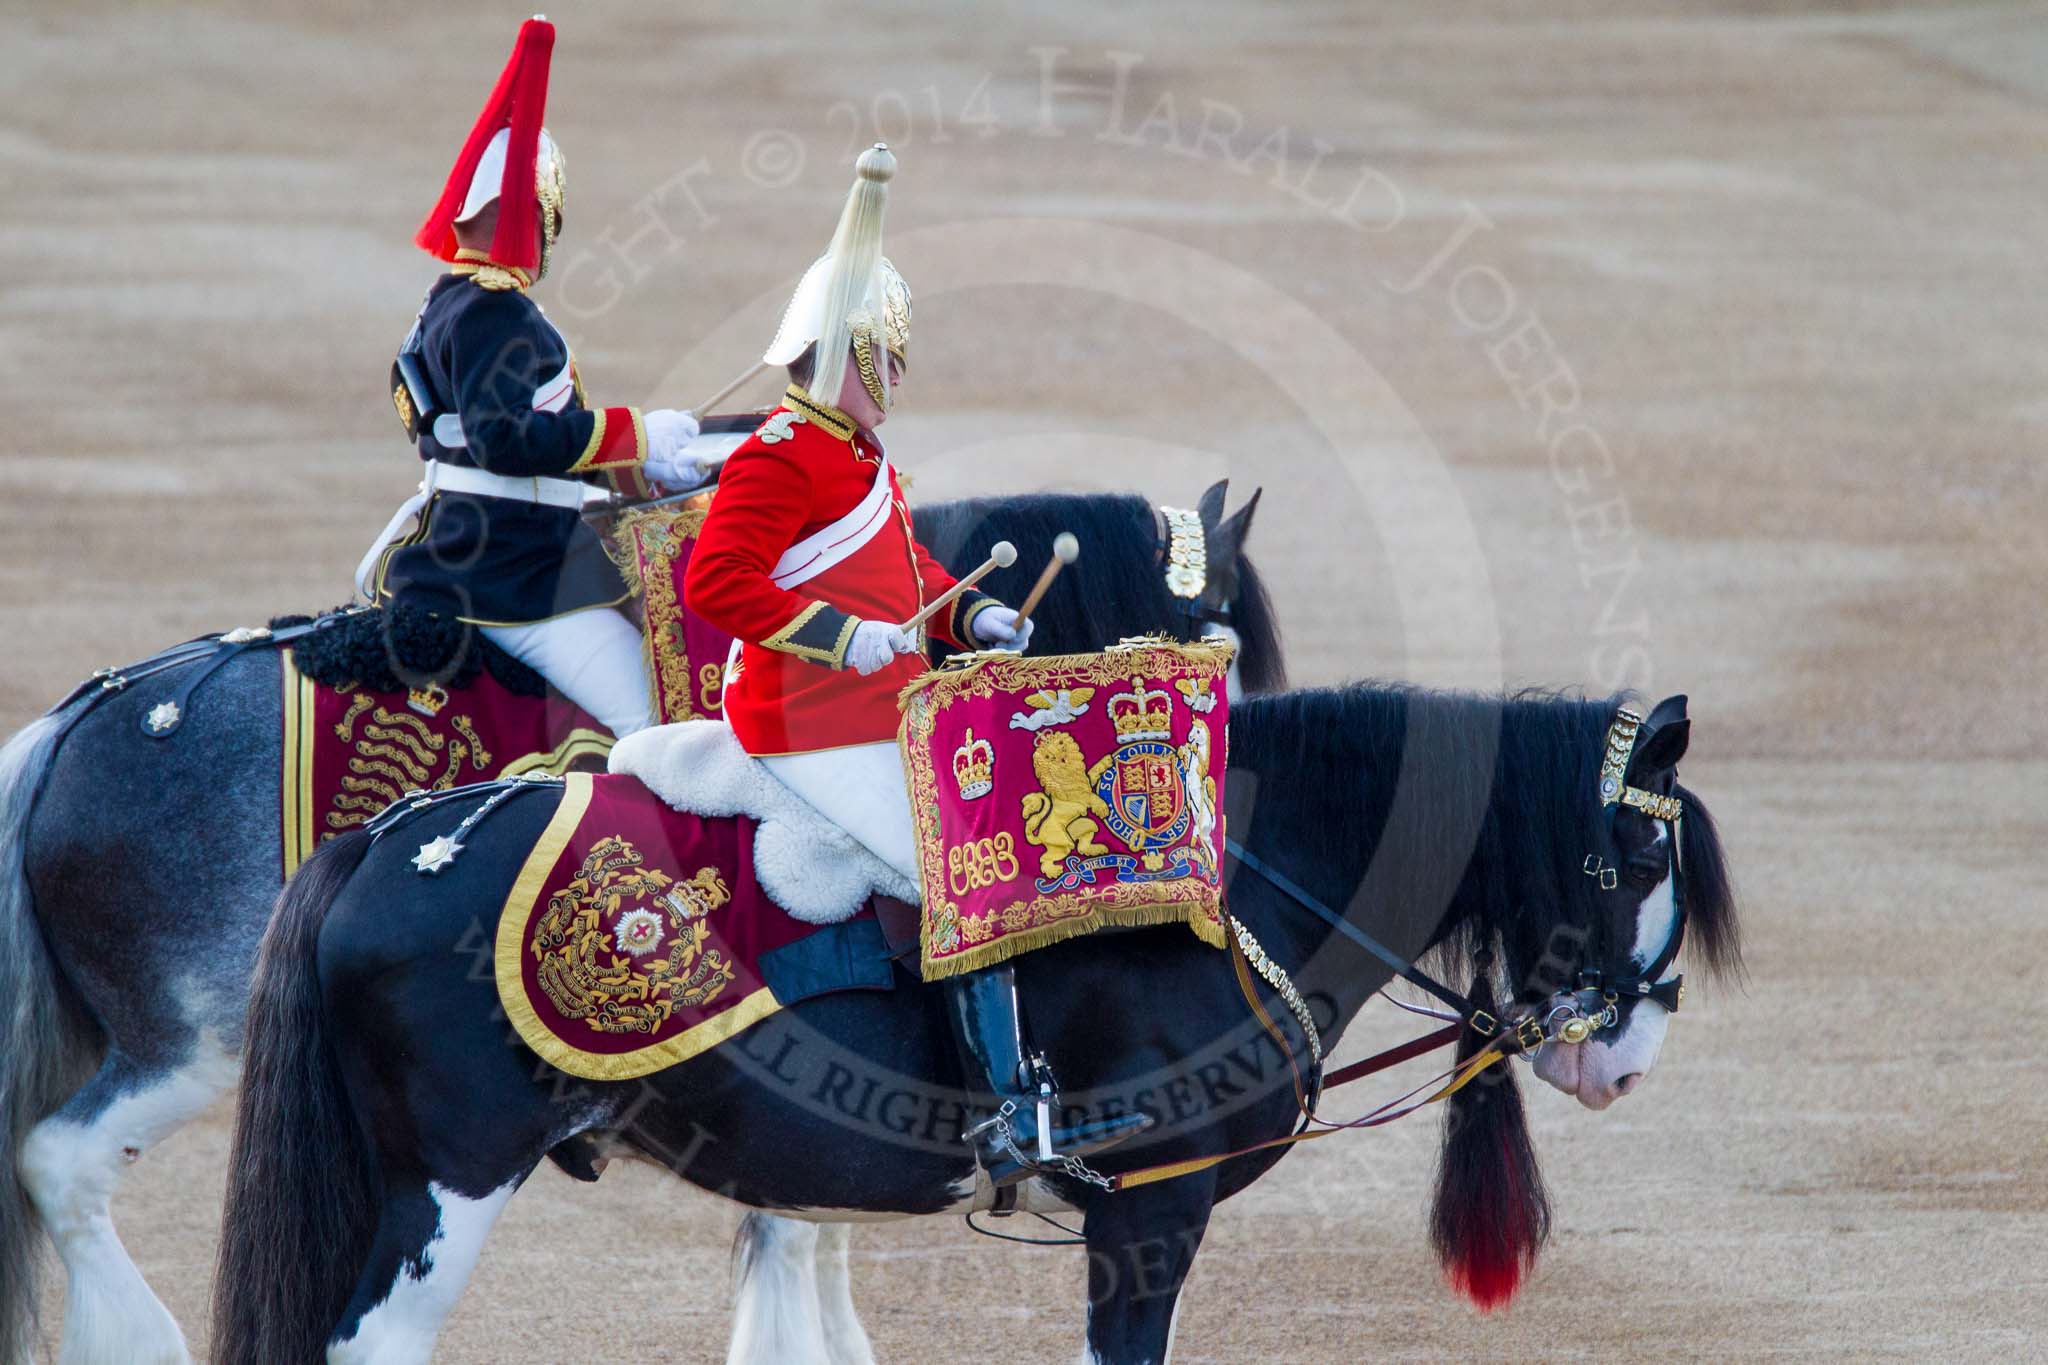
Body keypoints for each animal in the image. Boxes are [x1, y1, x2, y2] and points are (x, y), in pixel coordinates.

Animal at [1019, 736, 1114, 875]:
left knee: (1082, 845)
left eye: (1060, 743)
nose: (1059, 755)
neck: (1066, 771)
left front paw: (1106, 761)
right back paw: (1054, 871)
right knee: (1045, 858)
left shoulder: (1086, 783)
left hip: (1083, 826)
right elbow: (1092, 797)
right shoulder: (1080, 796)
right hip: (1062, 846)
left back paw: (1096, 849)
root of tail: (1040, 836)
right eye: (1048, 756)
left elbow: (1093, 771)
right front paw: (1102, 808)